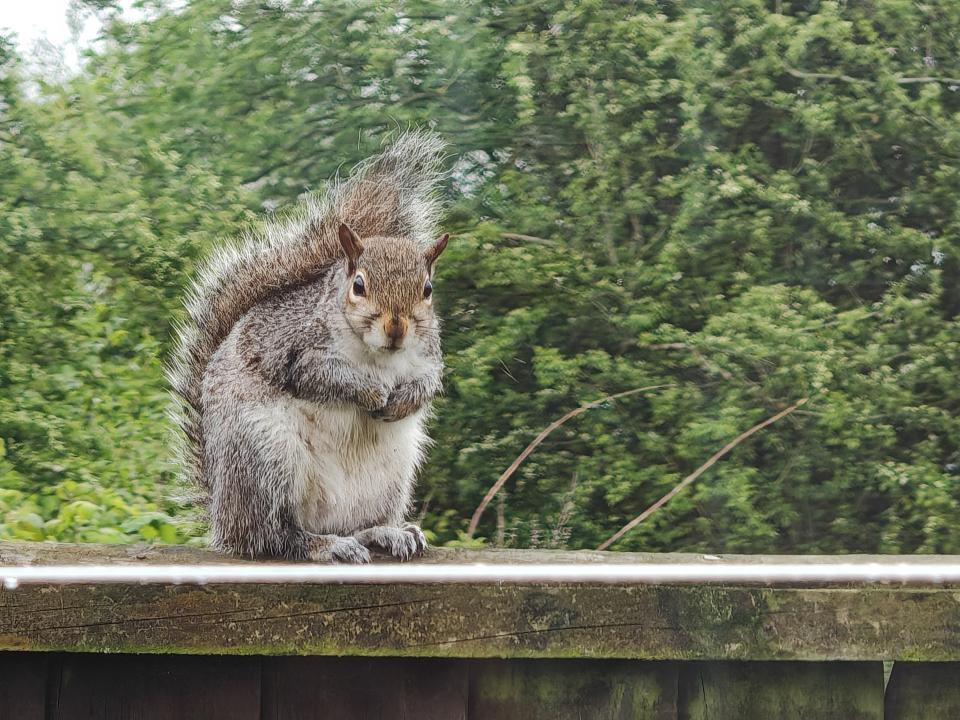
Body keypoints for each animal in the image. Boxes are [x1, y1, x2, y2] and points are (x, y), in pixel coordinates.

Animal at [166, 132, 450, 564]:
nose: (396, 329)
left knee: (355, 526)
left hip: (392, 475)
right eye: (359, 285)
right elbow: (321, 377)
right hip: (267, 458)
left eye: (428, 289)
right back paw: (324, 545)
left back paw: (387, 533)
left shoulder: (428, 354)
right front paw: (371, 393)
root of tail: (223, 518)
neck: (379, 356)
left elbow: (428, 382)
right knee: (274, 536)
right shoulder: (296, 349)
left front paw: (402, 400)